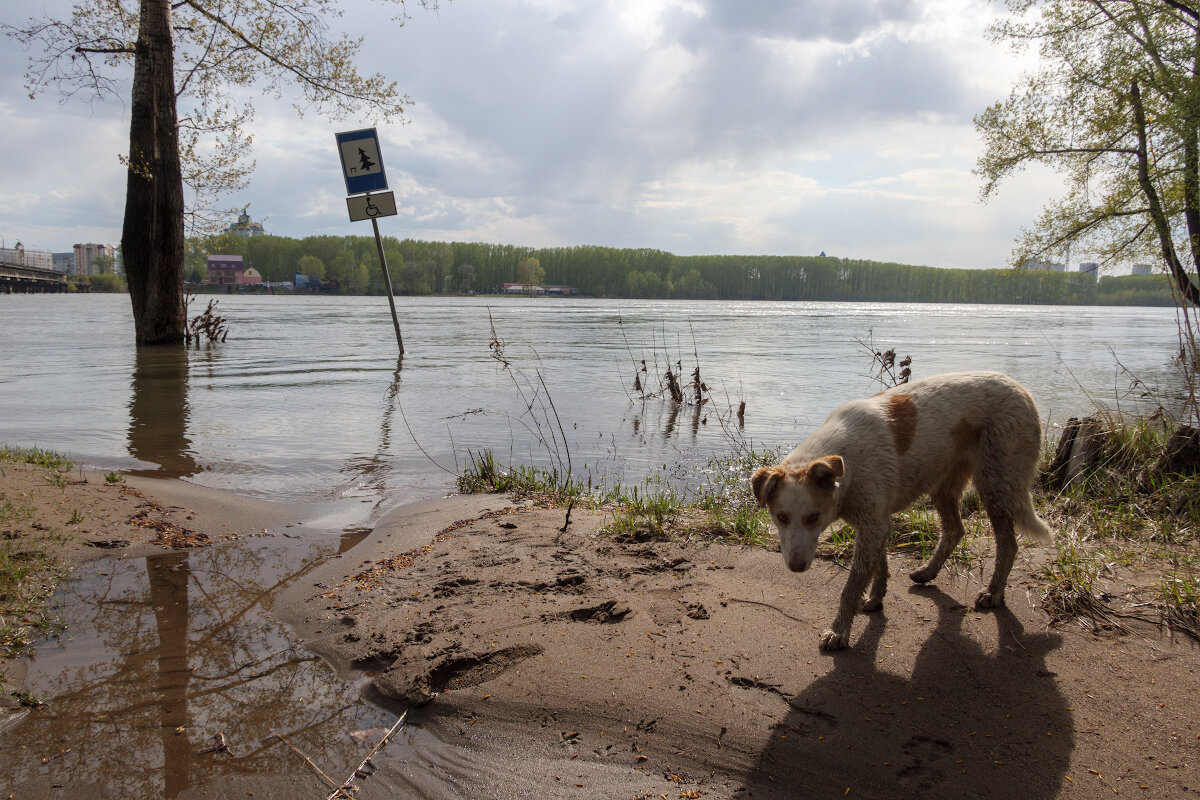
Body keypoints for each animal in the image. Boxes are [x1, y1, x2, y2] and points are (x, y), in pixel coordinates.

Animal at [748, 371, 1051, 652]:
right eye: (781, 517)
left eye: (813, 517)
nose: (796, 567)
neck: (847, 463)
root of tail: (1021, 389)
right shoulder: (876, 522)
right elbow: (879, 567)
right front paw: (875, 599)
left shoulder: (873, 524)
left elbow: (851, 587)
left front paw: (839, 631)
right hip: (944, 487)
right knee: (955, 530)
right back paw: (927, 572)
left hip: (996, 484)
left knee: (1008, 544)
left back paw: (994, 592)